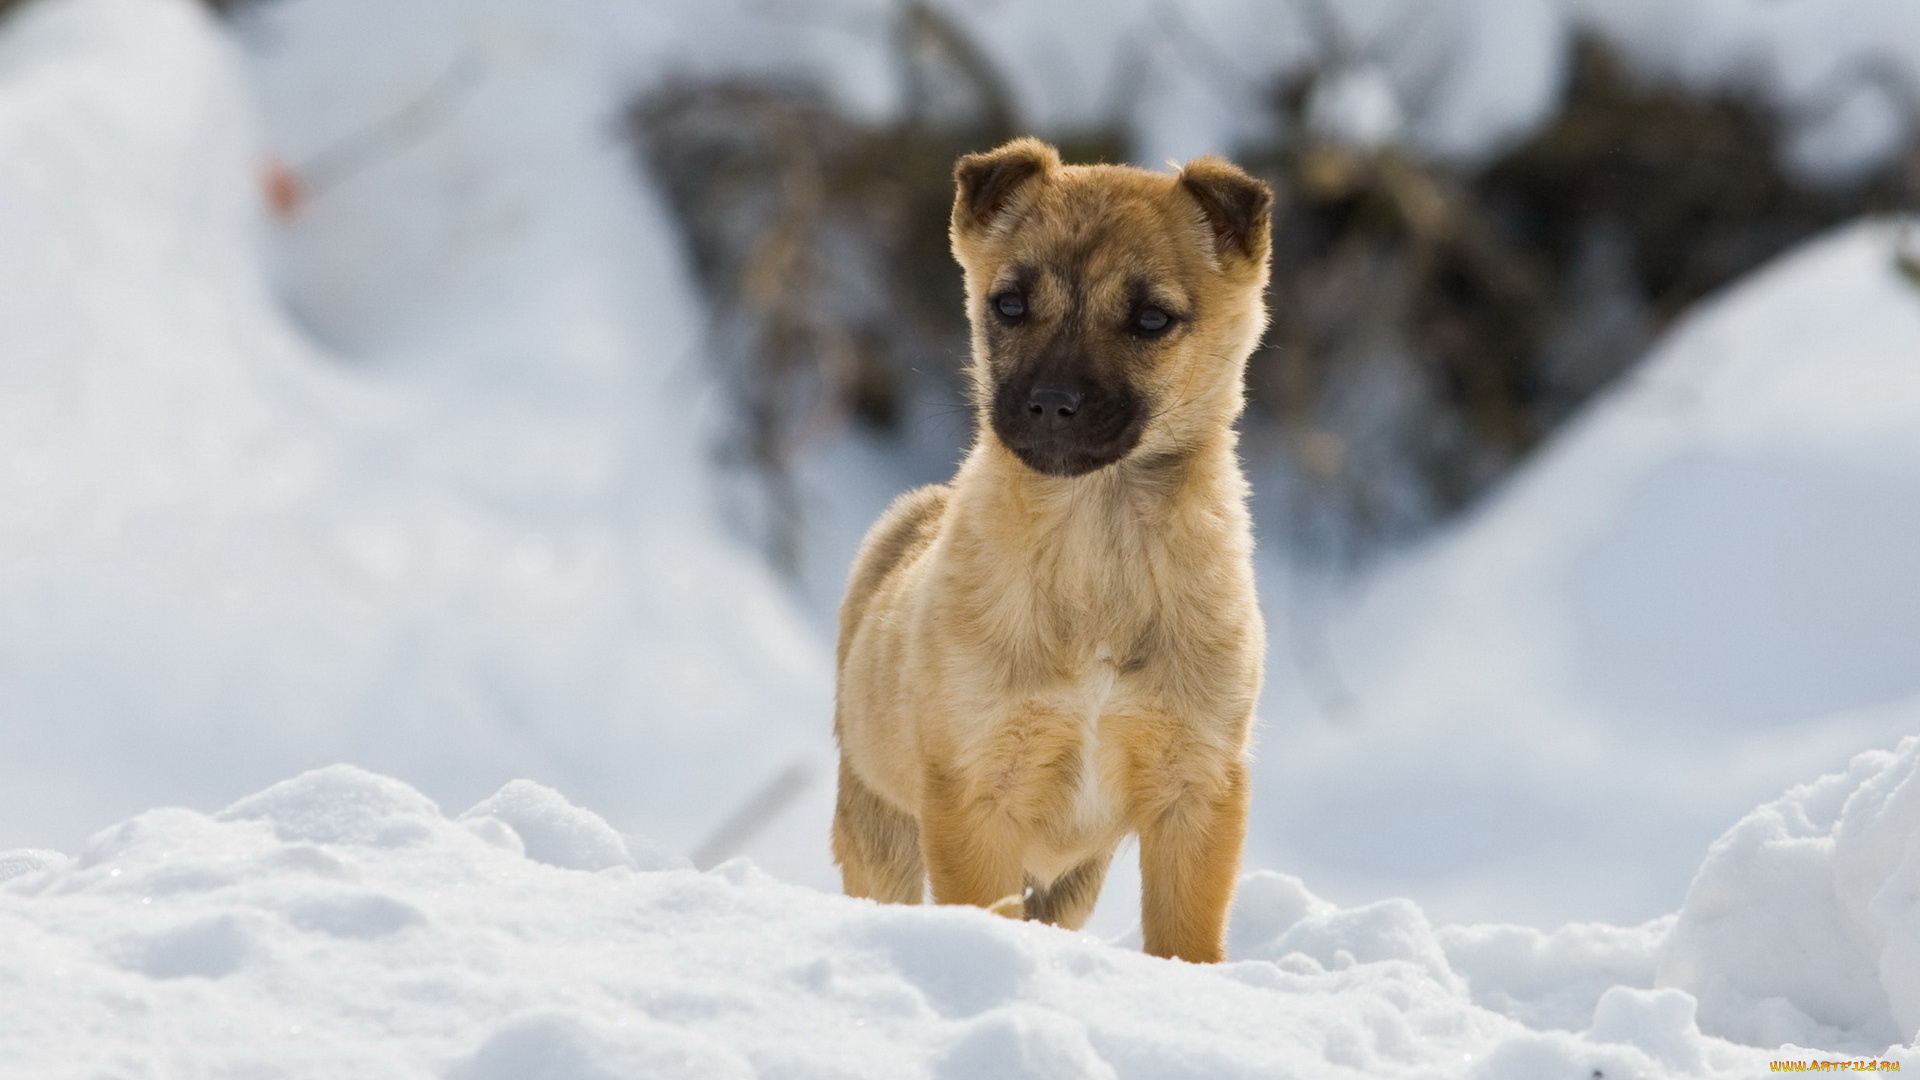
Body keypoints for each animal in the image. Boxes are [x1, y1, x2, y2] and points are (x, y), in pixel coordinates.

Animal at [829, 136, 1267, 957]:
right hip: (879, 827)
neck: (1097, 549)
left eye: (1152, 318)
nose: (1051, 405)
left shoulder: (1195, 788)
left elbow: (1185, 939)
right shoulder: (975, 793)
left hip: (1072, 882)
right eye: (1008, 305)